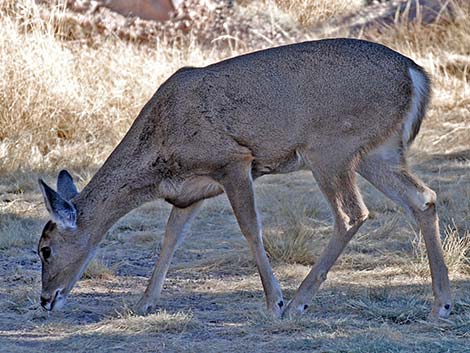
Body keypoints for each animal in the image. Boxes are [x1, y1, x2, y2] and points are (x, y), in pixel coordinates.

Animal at [37, 38, 452, 320]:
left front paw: (274, 301)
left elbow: (251, 228)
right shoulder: (190, 192)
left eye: (44, 249)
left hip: (331, 147)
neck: (160, 157)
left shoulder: (233, 160)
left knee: (352, 214)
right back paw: (442, 304)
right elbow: (171, 238)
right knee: (423, 197)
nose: (44, 299)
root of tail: (415, 75)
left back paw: (298, 302)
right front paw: (144, 302)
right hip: (378, 152)